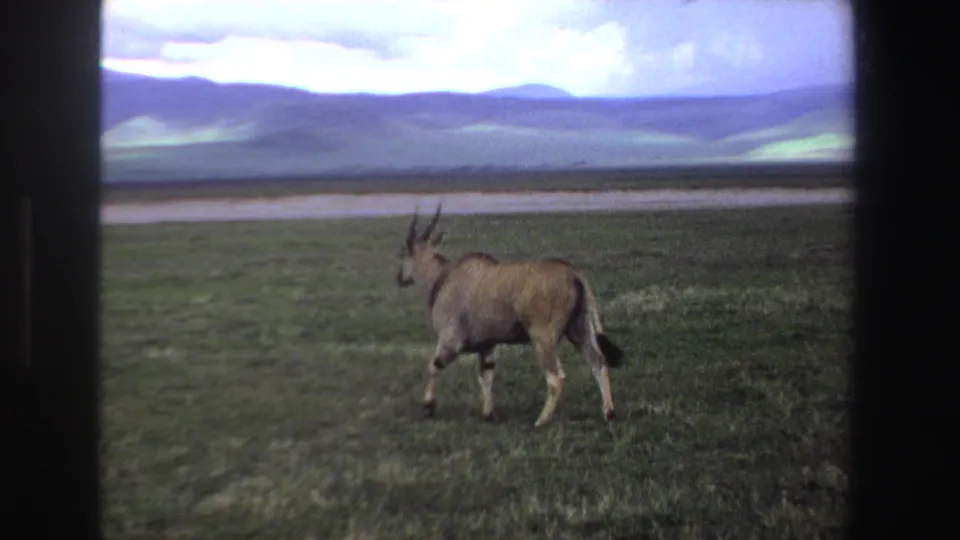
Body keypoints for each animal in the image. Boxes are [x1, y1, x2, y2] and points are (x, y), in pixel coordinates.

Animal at [395, 204, 624, 427]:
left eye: (403, 253)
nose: (400, 278)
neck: (444, 276)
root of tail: (573, 273)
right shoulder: (487, 346)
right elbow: (486, 375)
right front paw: (488, 414)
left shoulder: (451, 340)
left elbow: (434, 366)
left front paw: (428, 406)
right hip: (579, 329)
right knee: (598, 362)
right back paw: (609, 412)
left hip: (543, 337)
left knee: (556, 378)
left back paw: (542, 420)